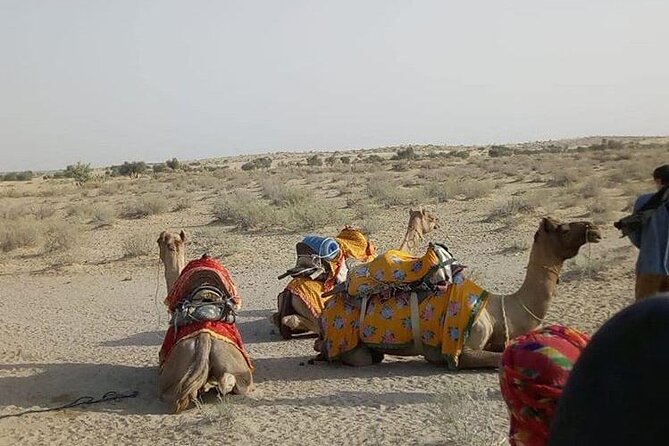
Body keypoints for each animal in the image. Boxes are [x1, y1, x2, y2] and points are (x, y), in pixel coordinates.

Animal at [323, 217, 602, 369]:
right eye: (562, 229)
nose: (593, 228)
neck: (499, 309)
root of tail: (329, 305)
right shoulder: (463, 348)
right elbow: (497, 359)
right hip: (347, 341)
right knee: (361, 357)